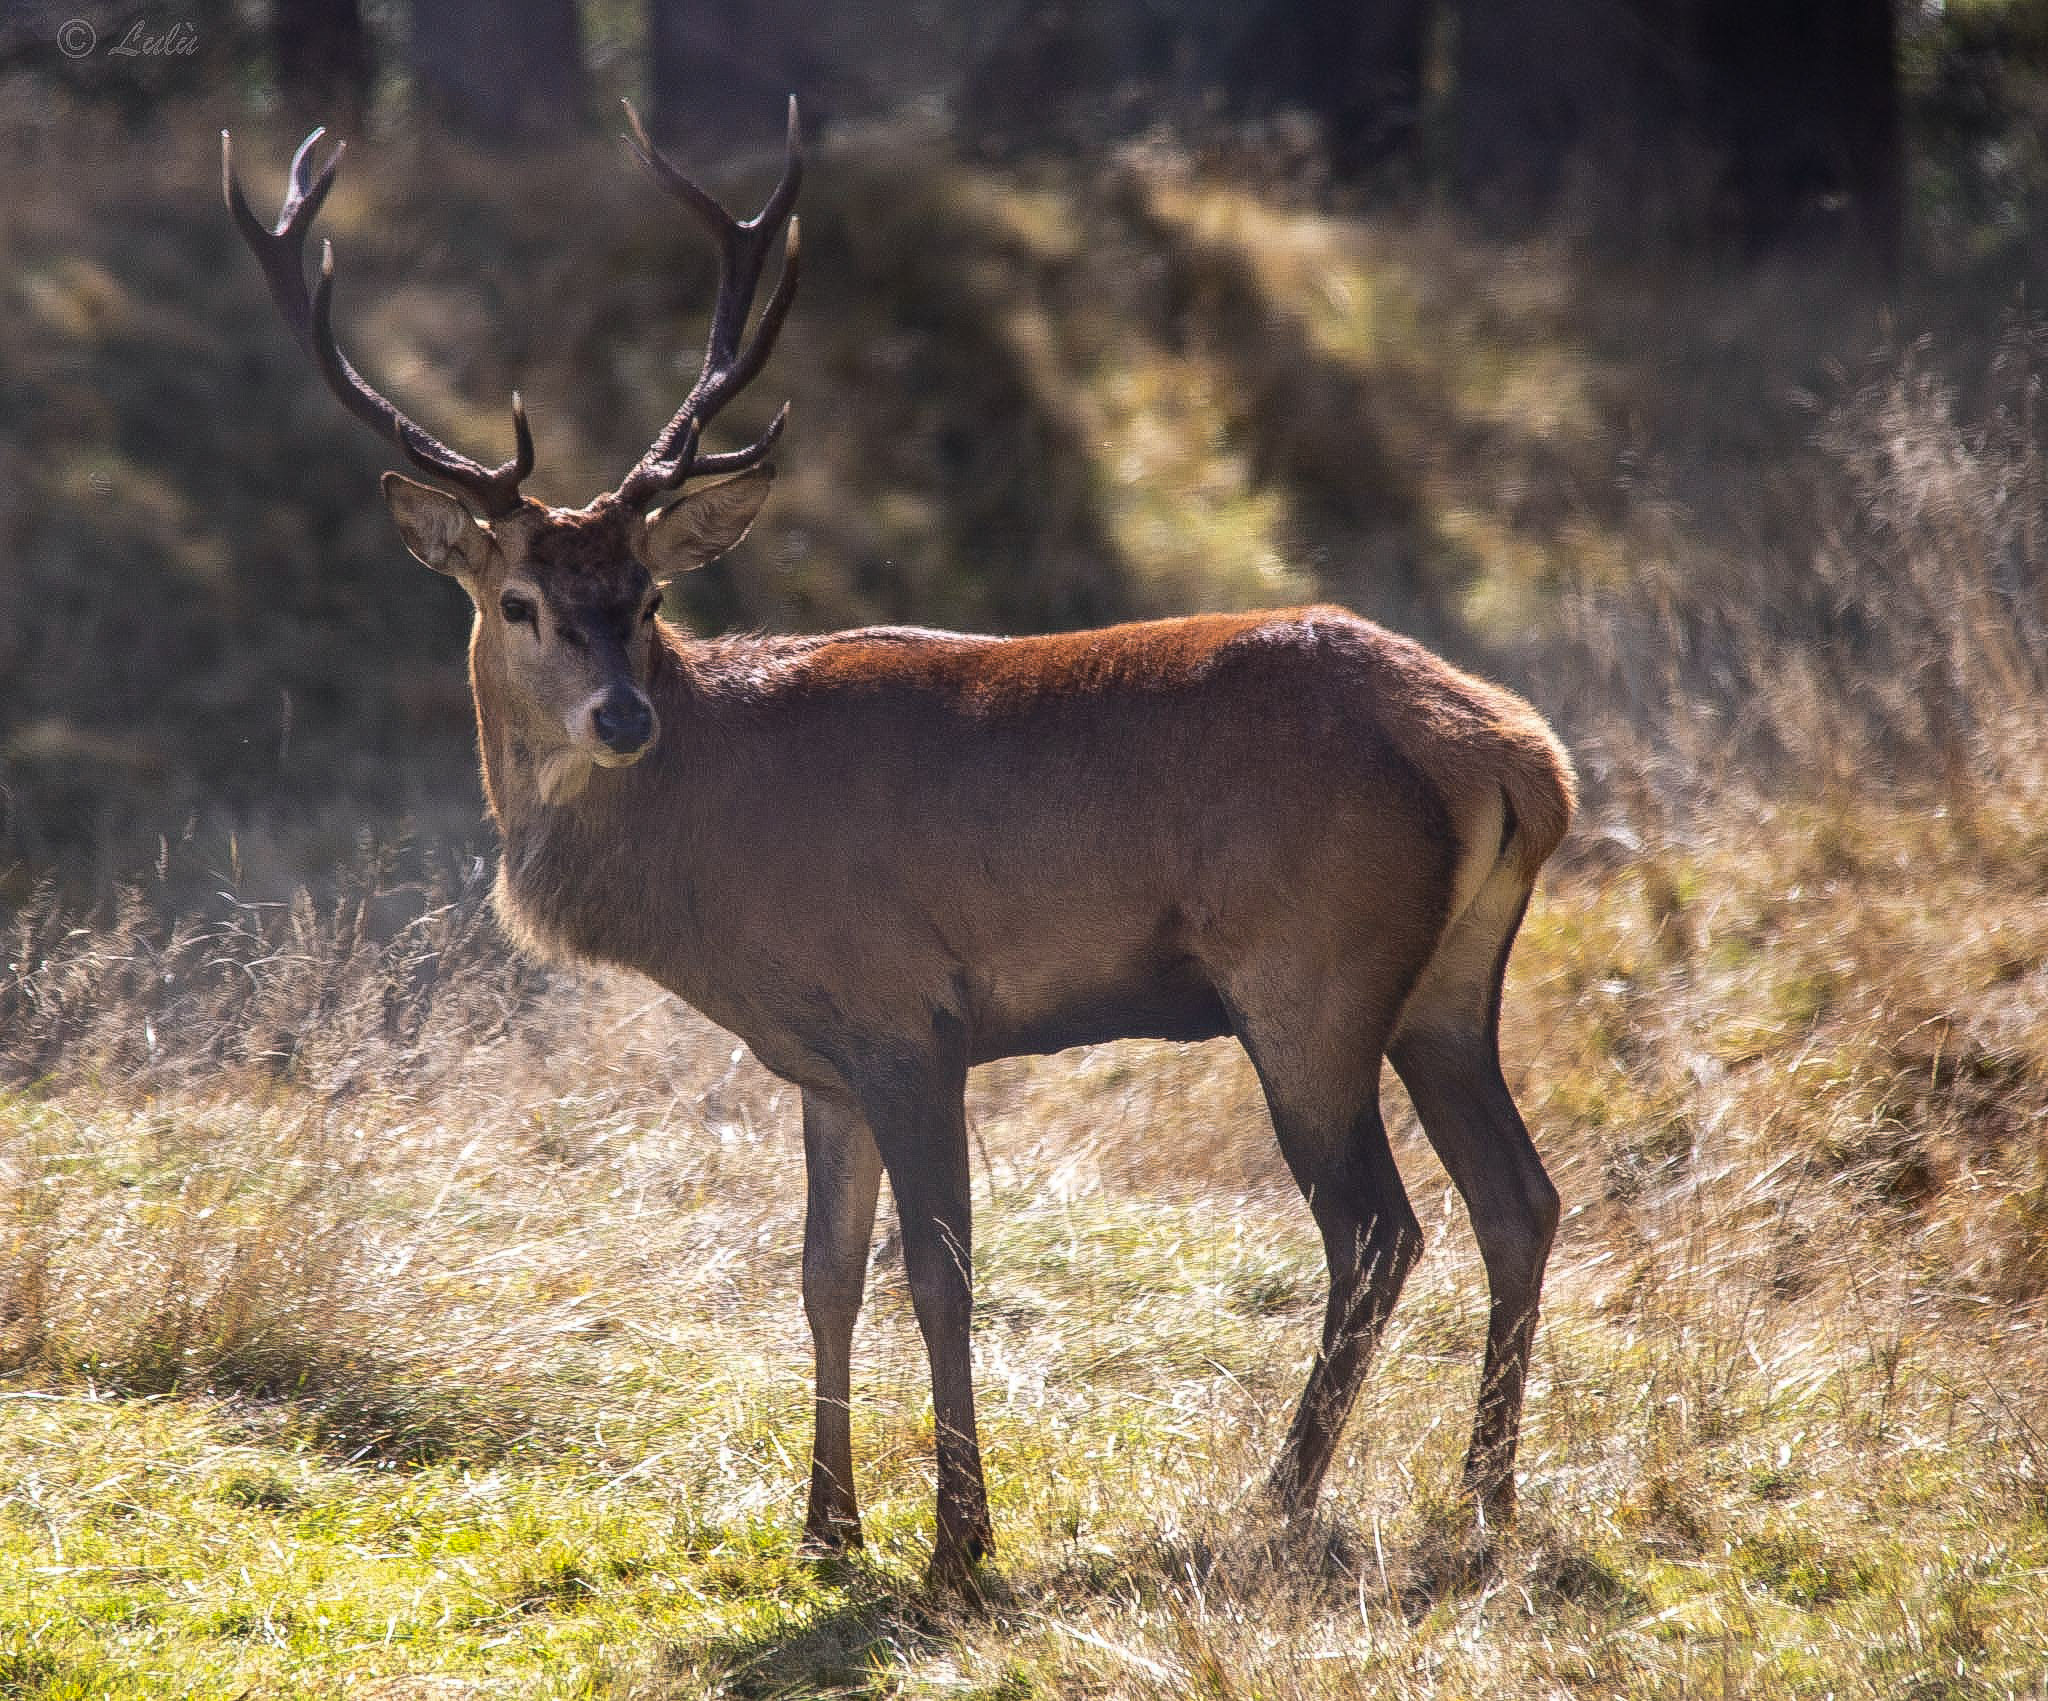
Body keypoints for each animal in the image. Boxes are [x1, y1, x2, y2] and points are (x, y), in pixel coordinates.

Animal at [223, 103, 1576, 1589]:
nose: (623, 714)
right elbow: (822, 1273)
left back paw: (1279, 1500)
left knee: (1378, 1228)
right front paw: (826, 1526)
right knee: (1519, 1198)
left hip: (1306, 975)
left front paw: (957, 1543)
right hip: (1445, 982)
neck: (713, 858)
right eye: (519, 599)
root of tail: (1519, 755)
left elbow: (936, 1272)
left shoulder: (908, 1013)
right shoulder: (821, 1058)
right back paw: (1485, 1503)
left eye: (647, 597)